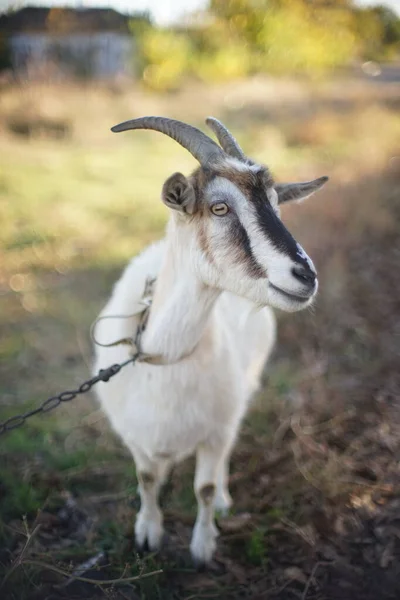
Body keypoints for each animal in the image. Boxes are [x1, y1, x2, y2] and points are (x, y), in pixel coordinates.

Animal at [94, 115, 328, 564]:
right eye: (220, 207)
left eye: (277, 205)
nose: (305, 276)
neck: (165, 357)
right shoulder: (134, 434)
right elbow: (146, 477)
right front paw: (148, 532)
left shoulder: (217, 429)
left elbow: (201, 488)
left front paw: (203, 546)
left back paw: (222, 498)